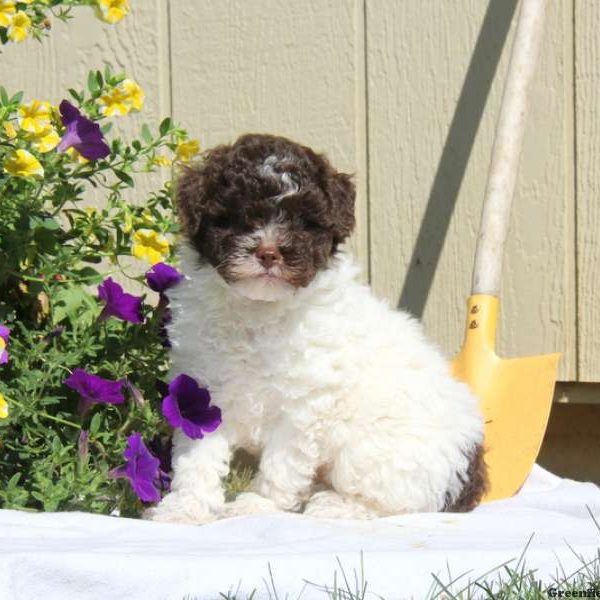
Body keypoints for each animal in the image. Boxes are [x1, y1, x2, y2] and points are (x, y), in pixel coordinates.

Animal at [146, 134, 488, 524]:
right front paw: (185, 507)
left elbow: (281, 465)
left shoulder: (303, 407)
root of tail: (470, 473)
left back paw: (333, 504)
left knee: (396, 502)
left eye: (303, 222)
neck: (259, 312)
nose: (268, 252)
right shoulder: (204, 394)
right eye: (236, 216)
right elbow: (197, 458)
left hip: (373, 451)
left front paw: (257, 506)